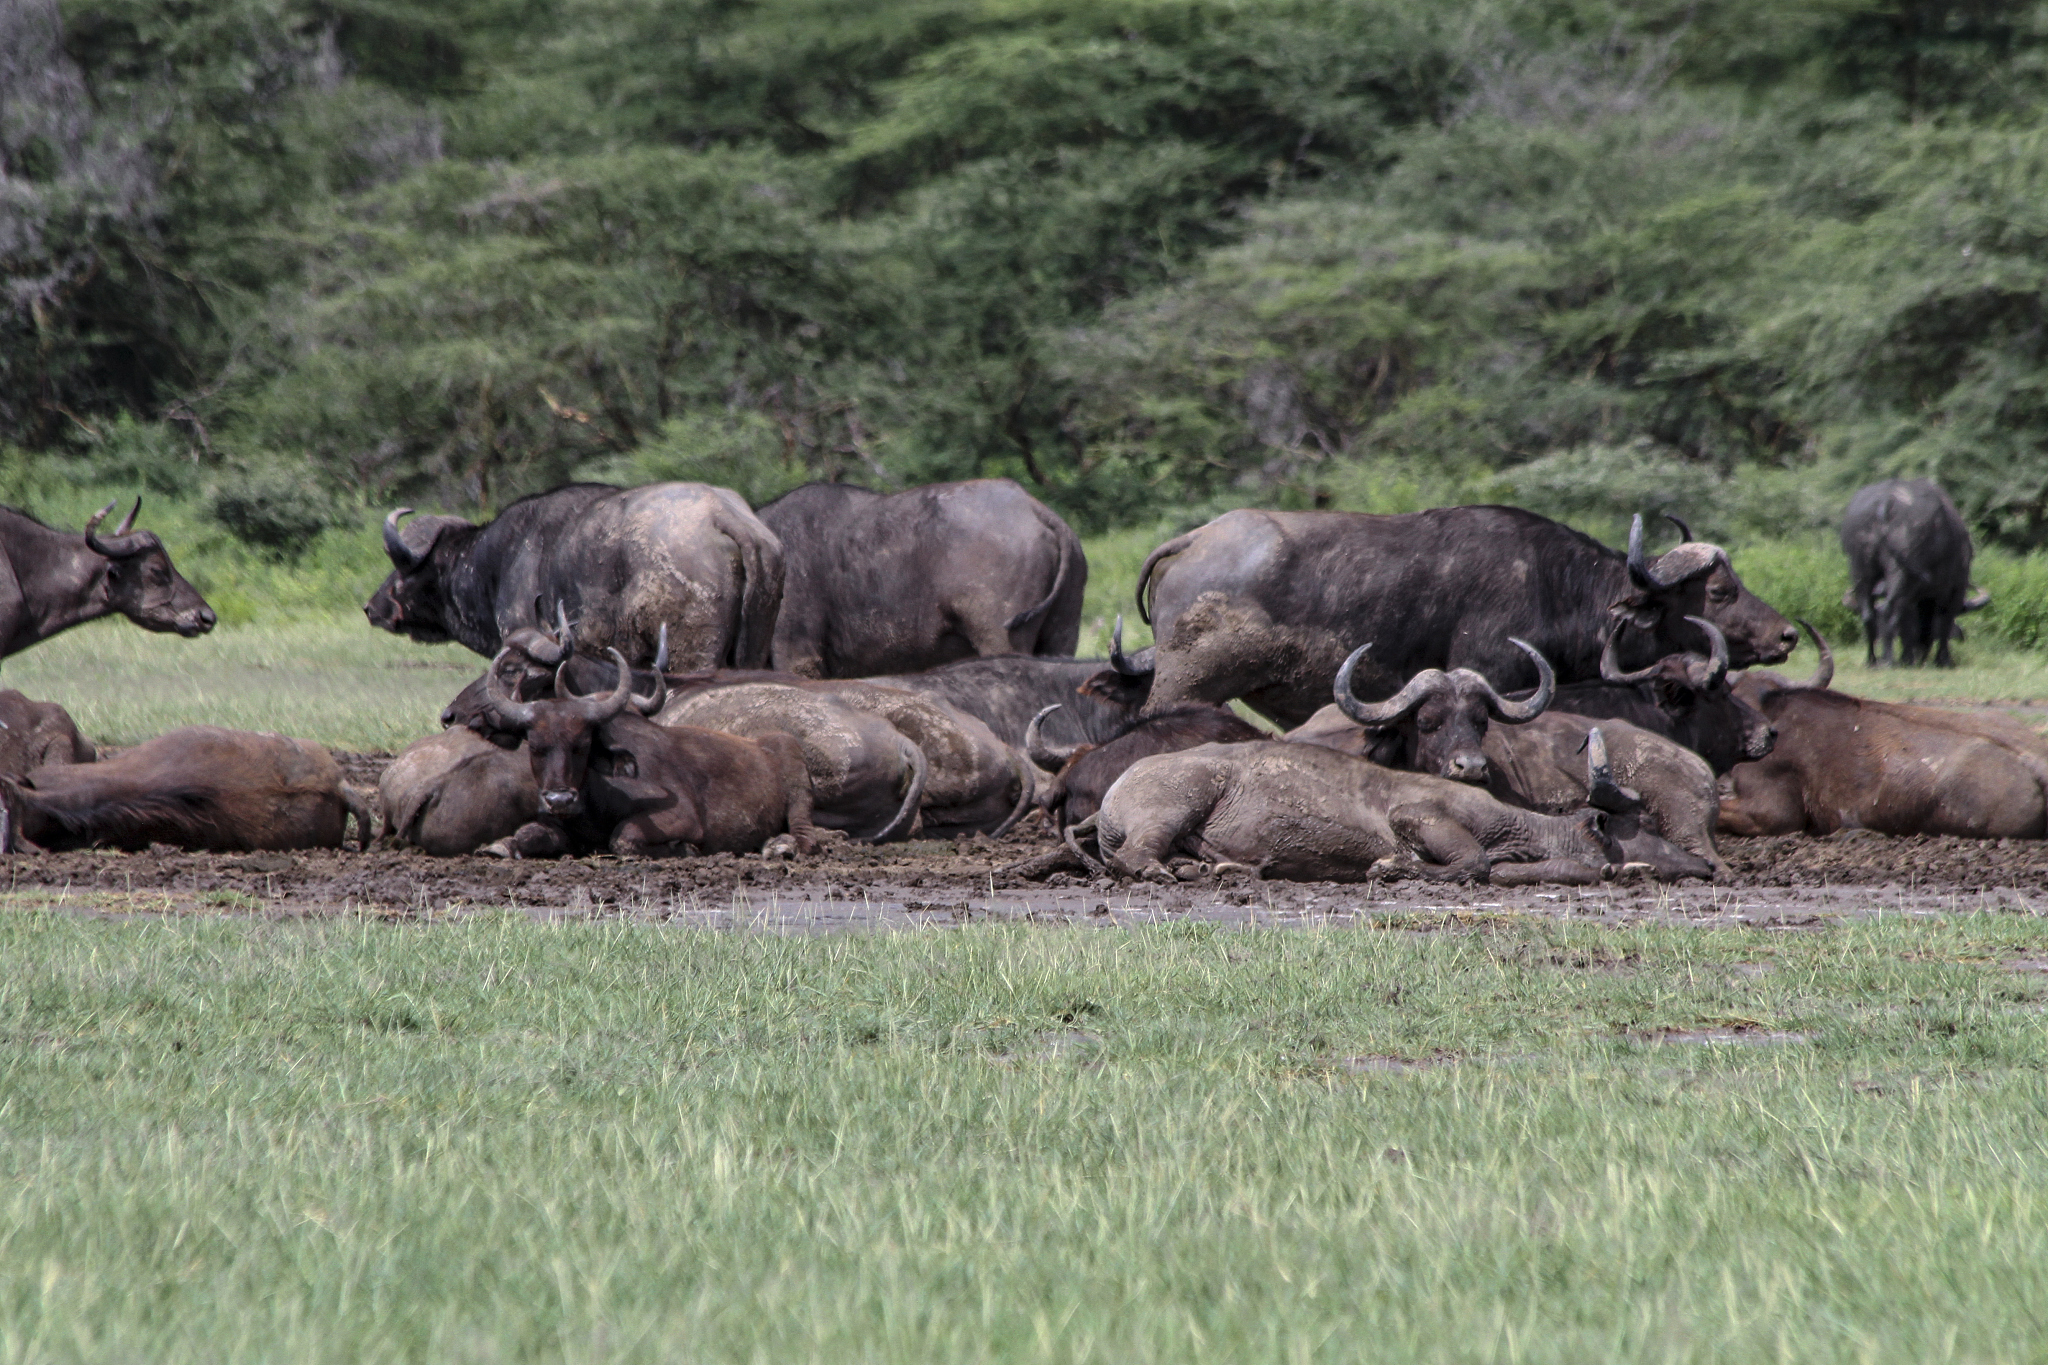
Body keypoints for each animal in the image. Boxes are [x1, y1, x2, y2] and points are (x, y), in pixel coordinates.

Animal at [367, 482, 782, 667]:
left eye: (400, 572)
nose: (372, 607)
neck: (496, 563)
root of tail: (723, 514)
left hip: (693, 654)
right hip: (751, 652)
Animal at [1840, 478, 1989, 668]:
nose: (1921, 653)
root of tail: (1885, 501)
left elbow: (1910, 626)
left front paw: (1908, 657)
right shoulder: (1956, 587)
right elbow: (1944, 620)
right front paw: (1943, 660)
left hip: (1860, 569)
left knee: (1868, 613)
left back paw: (1872, 660)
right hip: (1901, 572)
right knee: (1890, 610)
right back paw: (1888, 660)